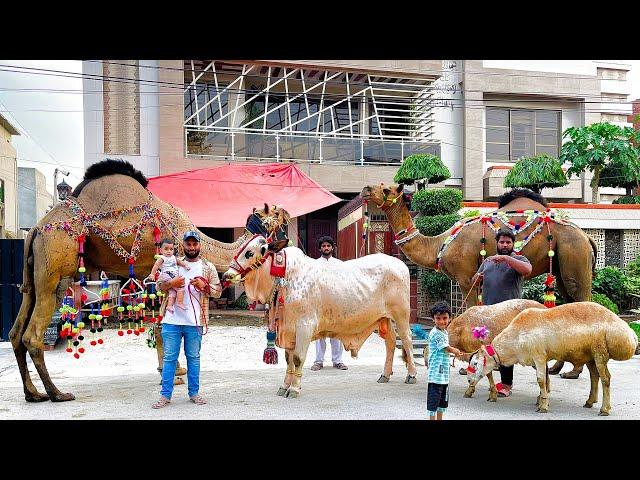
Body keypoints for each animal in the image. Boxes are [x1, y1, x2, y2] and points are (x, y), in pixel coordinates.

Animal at [8, 159, 284, 404]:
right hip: (55, 271)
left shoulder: (147, 274)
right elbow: (163, 325)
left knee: (16, 331)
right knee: (32, 335)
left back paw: (33, 394)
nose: (286, 238)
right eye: (279, 217)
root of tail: (35, 230)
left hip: (33, 278)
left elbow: (160, 325)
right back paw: (57, 393)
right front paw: (173, 375)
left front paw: (174, 371)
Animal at [222, 235, 418, 398]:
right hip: (383, 318)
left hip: (401, 314)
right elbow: (288, 360)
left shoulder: (304, 326)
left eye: (249, 252)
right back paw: (385, 374)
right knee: (391, 342)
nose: (227, 275)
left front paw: (294, 389)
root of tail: (399, 264)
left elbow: (298, 358)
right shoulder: (288, 329)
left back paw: (412, 374)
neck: (286, 276)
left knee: (406, 340)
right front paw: (284, 386)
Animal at [362, 184, 596, 378]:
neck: (438, 245)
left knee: (583, 300)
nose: (366, 190)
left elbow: (472, 310)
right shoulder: (477, 278)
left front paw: (467, 364)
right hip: (562, 267)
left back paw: (573, 371)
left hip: (574, 256)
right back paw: (557, 368)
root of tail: (586, 236)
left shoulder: (466, 278)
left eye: (386, 189)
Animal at [464, 302, 636, 414]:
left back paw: (604, 409)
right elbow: (546, 379)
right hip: (591, 355)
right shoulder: (540, 359)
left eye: (475, 362)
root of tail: (630, 334)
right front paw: (541, 399)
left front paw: (543, 406)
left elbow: (541, 380)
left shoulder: (539, 356)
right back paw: (589, 402)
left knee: (606, 378)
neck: (516, 339)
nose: (468, 380)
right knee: (595, 376)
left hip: (600, 351)